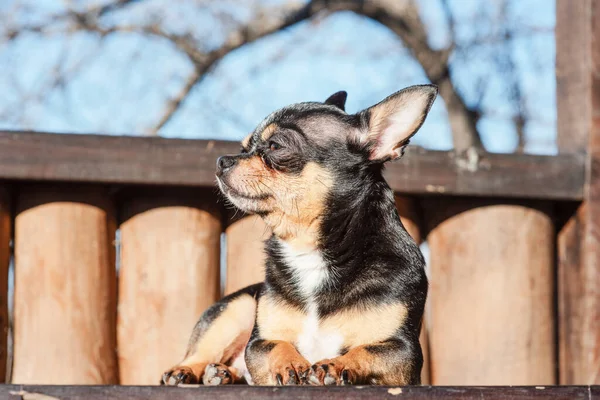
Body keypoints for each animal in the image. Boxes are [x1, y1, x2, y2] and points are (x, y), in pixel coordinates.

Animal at [162, 85, 438, 388]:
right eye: (244, 149)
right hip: (239, 306)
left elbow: (364, 350)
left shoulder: (403, 351)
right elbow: (277, 345)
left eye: (275, 146)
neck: (308, 249)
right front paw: (292, 364)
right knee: (202, 353)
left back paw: (223, 374)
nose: (222, 160)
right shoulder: (259, 342)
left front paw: (334, 365)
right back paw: (190, 370)